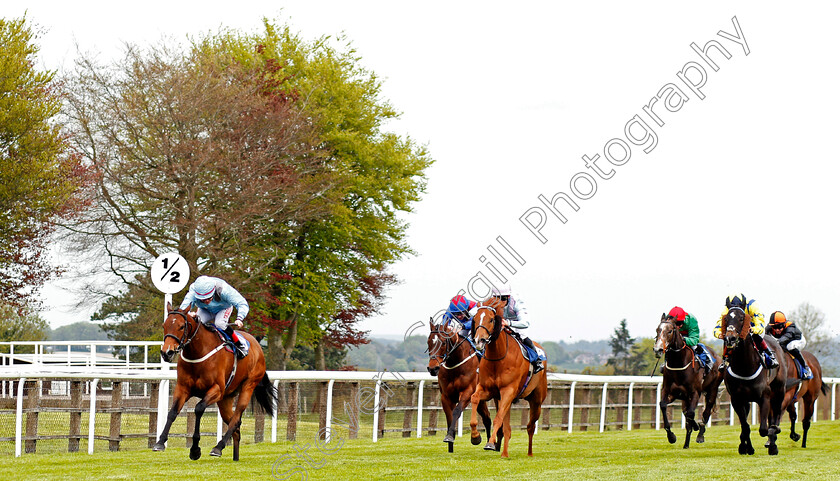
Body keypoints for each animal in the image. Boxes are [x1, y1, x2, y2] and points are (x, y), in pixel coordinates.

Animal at [153, 306, 278, 460]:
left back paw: (218, 447)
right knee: (235, 425)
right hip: (226, 399)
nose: (167, 353)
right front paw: (160, 442)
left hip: (248, 386)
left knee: (236, 419)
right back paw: (235, 457)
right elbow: (172, 412)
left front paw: (195, 449)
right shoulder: (183, 388)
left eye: (181, 326)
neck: (198, 352)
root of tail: (258, 346)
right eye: (164, 325)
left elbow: (199, 408)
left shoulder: (217, 390)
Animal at [426, 318, 492, 450]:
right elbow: (449, 416)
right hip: (481, 400)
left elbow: (456, 411)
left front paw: (475, 437)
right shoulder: (446, 396)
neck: (455, 366)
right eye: (428, 342)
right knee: (487, 418)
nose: (432, 368)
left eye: (443, 343)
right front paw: (450, 439)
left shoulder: (467, 392)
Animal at [466, 296, 544, 458]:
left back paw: (529, 453)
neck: (498, 358)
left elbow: (498, 419)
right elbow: (475, 398)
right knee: (507, 428)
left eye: (491, 319)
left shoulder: (508, 390)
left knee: (530, 427)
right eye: (475, 319)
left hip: (537, 401)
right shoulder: (488, 390)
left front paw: (490, 443)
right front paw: (475, 436)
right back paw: (505, 454)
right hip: (501, 399)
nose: (479, 340)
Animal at [652, 314, 724, 448]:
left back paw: (700, 435)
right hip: (685, 398)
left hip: (712, 389)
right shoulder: (669, 391)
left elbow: (691, 413)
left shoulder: (694, 393)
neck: (678, 364)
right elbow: (663, 405)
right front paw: (671, 436)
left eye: (670, 331)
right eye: (657, 330)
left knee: (706, 412)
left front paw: (694, 429)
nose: (657, 349)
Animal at [720, 306, 796, 456]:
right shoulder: (737, 399)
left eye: (741, 318)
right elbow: (745, 427)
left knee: (775, 414)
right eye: (726, 319)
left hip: (779, 391)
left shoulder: (764, 397)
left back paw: (774, 439)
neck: (744, 367)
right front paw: (746, 447)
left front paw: (772, 442)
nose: (730, 338)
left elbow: (764, 429)